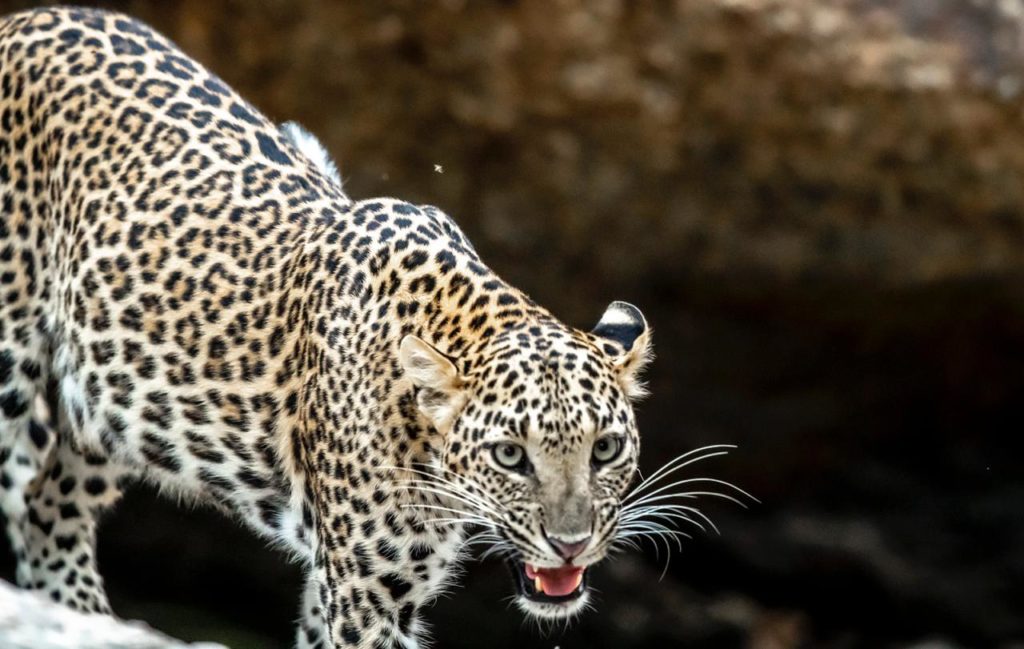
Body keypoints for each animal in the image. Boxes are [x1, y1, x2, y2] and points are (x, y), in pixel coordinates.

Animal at [0, 7, 659, 648]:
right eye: (510, 456)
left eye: (605, 448)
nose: (571, 544)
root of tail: (25, 21)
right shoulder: (367, 591)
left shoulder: (341, 581)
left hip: (107, 404)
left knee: (51, 510)